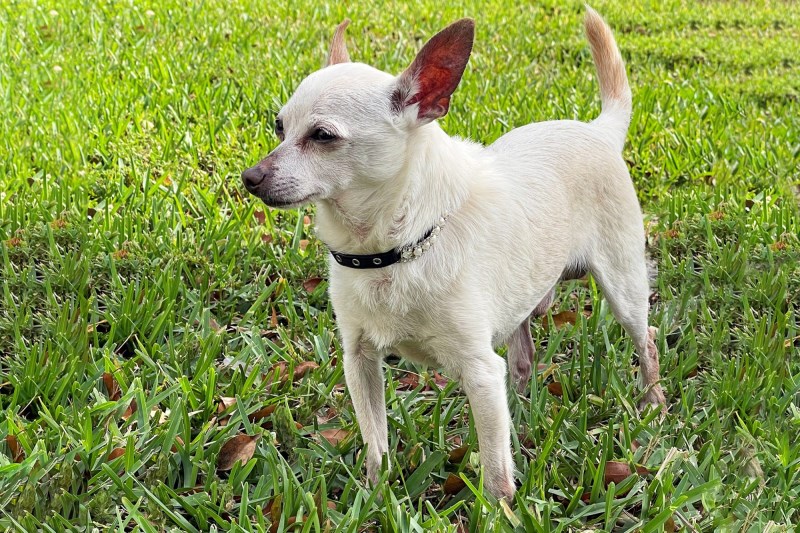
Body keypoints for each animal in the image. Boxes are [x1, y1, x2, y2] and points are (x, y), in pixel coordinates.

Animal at [241, 7, 664, 498]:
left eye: (323, 136)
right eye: (279, 127)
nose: (250, 177)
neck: (389, 251)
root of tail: (598, 130)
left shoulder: (479, 373)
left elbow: (496, 468)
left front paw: (501, 508)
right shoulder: (359, 360)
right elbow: (375, 439)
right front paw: (377, 491)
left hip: (623, 286)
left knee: (646, 337)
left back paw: (653, 402)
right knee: (522, 355)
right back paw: (522, 405)